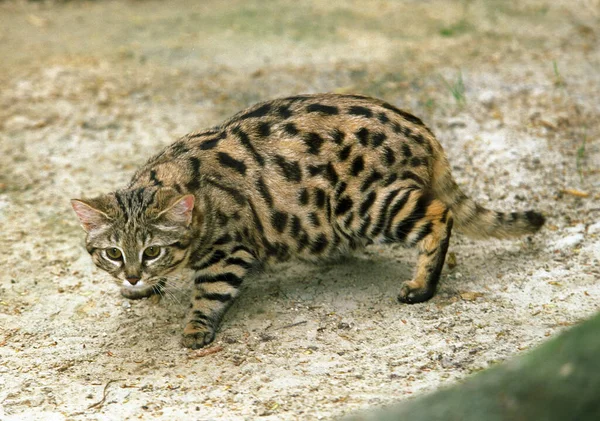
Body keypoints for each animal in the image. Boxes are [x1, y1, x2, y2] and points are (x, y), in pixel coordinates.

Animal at [71, 94, 544, 348]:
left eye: (153, 250)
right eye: (113, 253)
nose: (132, 276)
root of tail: (423, 130)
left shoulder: (230, 250)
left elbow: (209, 294)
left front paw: (194, 327)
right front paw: (143, 289)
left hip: (363, 204)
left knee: (439, 214)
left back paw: (420, 287)